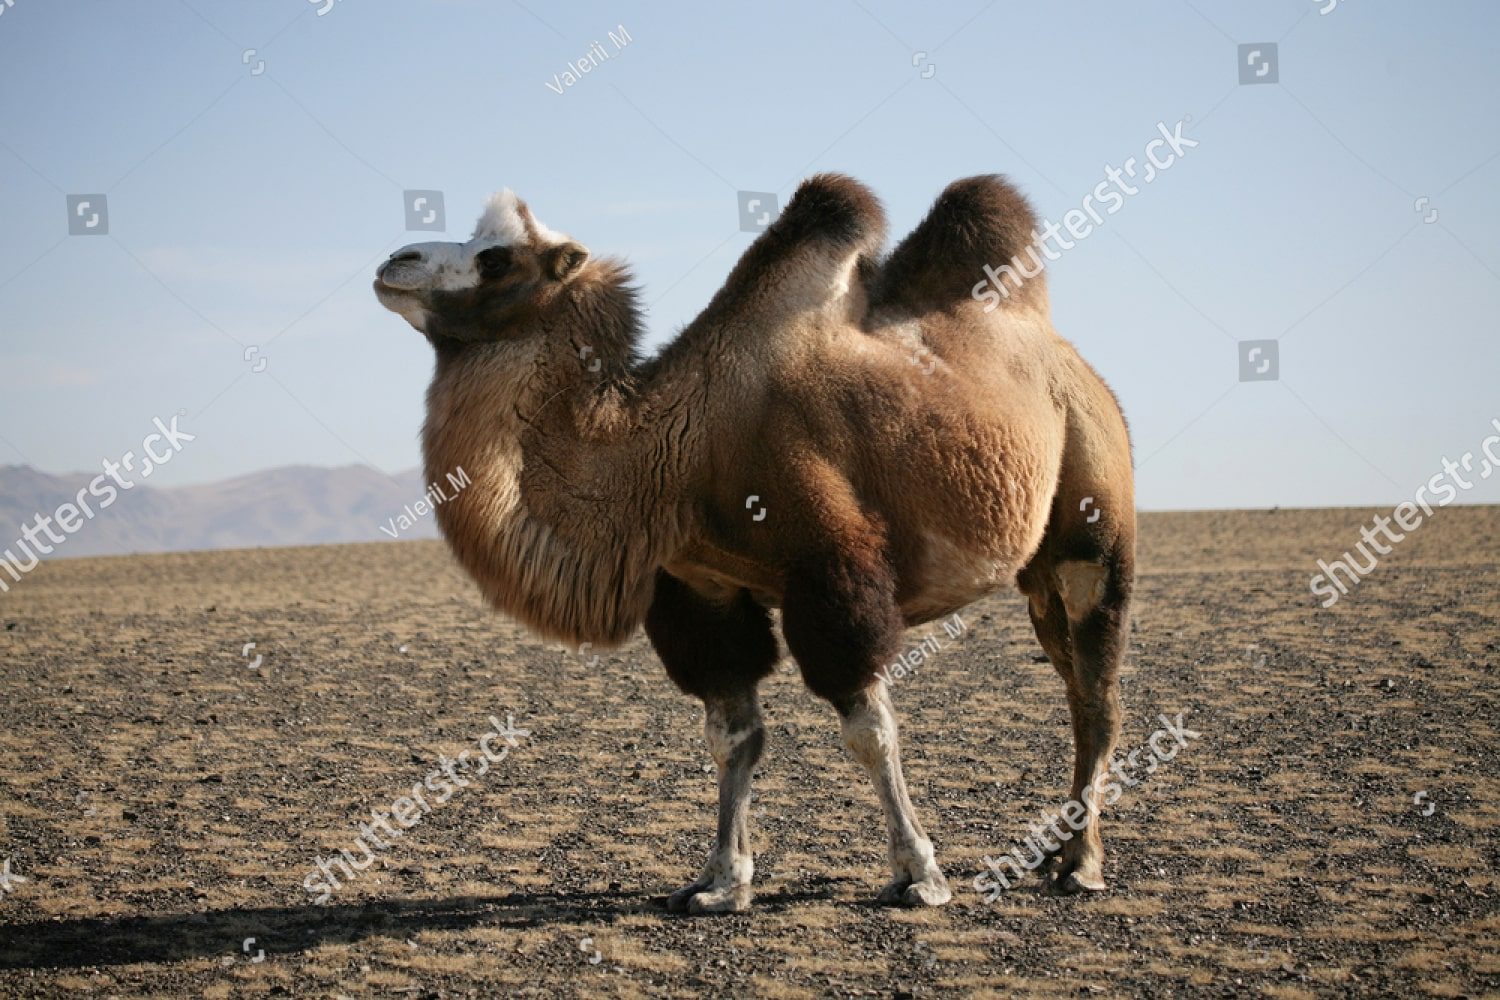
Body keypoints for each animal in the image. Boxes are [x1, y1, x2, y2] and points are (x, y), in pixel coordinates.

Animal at [372, 174, 1135, 912]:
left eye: (496, 259)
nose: (393, 263)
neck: (676, 451)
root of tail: (1077, 370)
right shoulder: (702, 590)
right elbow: (732, 736)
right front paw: (718, 882)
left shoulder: (833, 573)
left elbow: (870, 731)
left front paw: (919, 874)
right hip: (1037, 572)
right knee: (1076, 692)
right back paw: (1057, 855)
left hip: (1093, 520)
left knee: (1098, 697)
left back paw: (1082, 866)